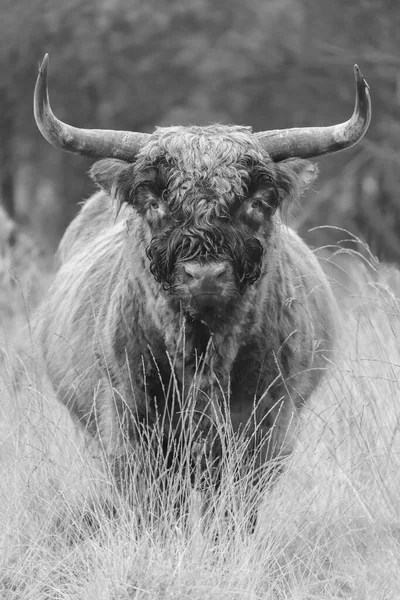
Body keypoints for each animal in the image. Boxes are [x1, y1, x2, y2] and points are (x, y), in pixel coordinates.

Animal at [33, 54, 372, 490]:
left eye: (257, 201)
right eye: (153, 200)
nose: (206, 275)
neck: (203, 356)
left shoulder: (266, 427)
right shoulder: (129, 425)